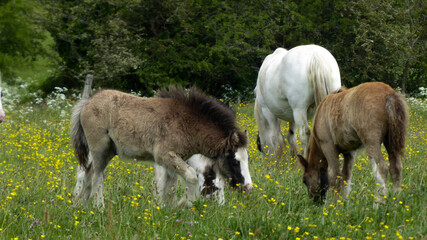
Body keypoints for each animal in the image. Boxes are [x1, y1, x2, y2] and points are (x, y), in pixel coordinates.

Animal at [71, 86, 252, 208]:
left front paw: (167, 210)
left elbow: (169, 186)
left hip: (108, 152)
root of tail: (87, 102)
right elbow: (190, 177)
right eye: (234, 160)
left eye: (246, 159)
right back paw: (99, 207)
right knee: (97, 176)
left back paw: (82, 207)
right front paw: (185, 204)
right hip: (99, 149)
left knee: (88, 174)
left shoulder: (173, 161)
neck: (186, 123)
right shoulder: (164, 156)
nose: (248, 188)